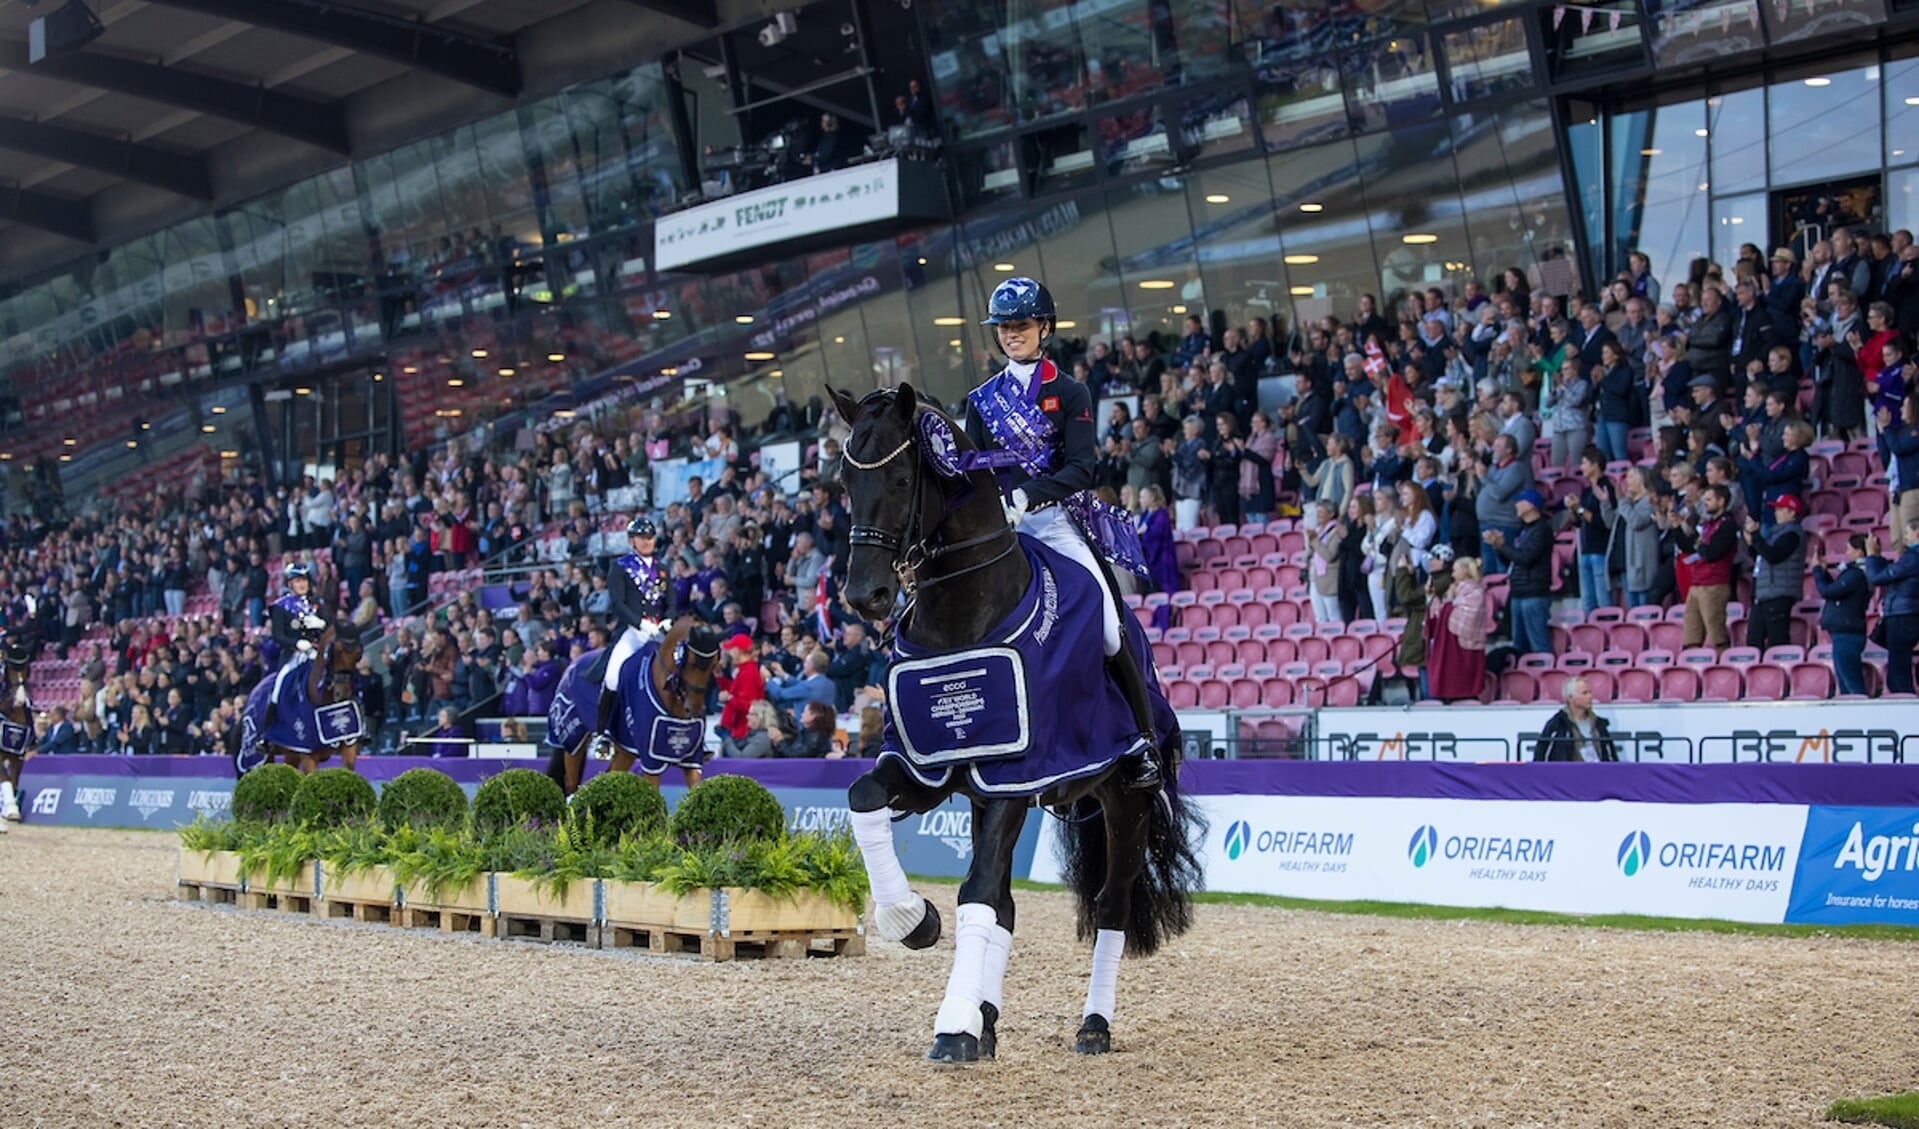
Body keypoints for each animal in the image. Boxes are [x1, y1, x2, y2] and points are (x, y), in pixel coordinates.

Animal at [836, 384, 1205, 1059]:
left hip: (1126, 802)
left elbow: (977, 892)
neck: (962, 613)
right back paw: (986, 1020)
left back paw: (1093, 1026)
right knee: (1008, 907)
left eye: (901, 479)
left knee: (1111, 906)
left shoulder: (1016, 771)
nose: (863, 596)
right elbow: (864, 798)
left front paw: (953, 1026)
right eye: (846, 481)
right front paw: (912, 920)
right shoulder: (930, 771)